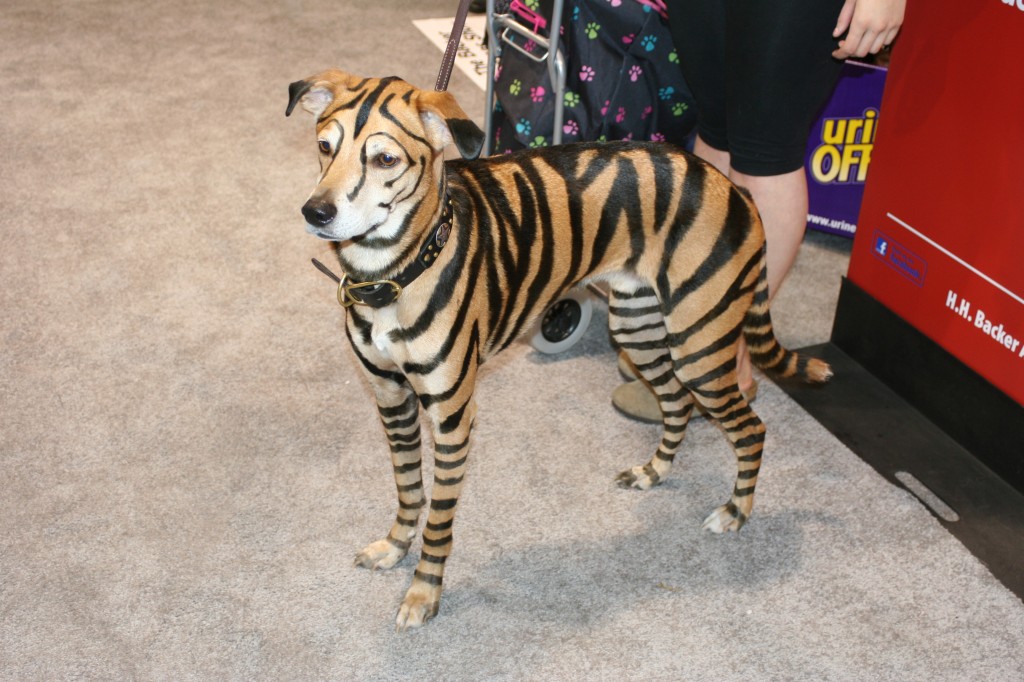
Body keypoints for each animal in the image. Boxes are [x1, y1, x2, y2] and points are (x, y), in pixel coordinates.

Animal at [285, 69, 832, 630]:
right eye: (324, 147)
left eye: (385, 159)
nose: (316, 212)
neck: (394, 273)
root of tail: (734, 186)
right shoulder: (391, 399)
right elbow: (408, 489)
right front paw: (395, 548)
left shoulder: (453, 418)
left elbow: (439, 518)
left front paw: (423, 592)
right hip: (638, 330)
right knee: (676, 402)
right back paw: (654, 472)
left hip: (699, 346)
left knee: (751, 429)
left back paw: (737, 510)